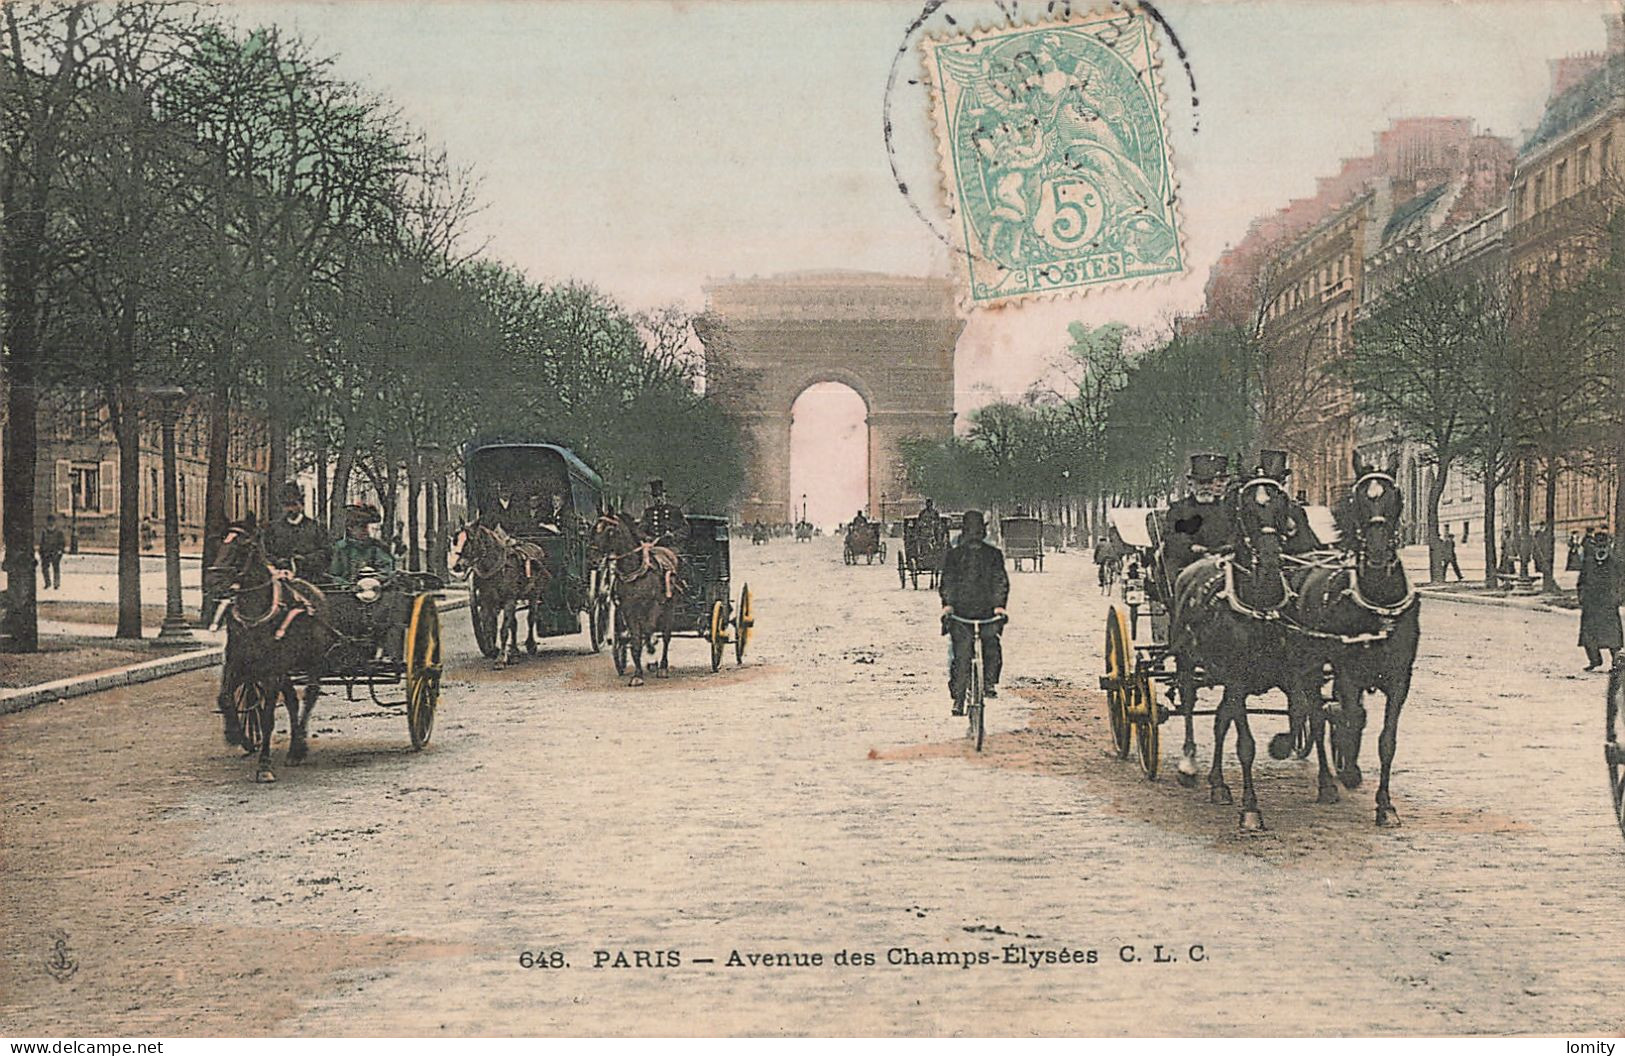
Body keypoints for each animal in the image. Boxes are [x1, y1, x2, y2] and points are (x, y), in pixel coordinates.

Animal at [203, 519, 336, 776]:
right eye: (221, 542)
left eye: (244, 545)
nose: (213, 582)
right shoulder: (237, 663)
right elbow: (225, 698)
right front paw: (236, 734)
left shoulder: (272, 671)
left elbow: (267, 718)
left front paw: (264, 765)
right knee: (293, 700)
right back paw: (294, 748)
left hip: (312, 661)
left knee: (310, 695)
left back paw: (298, 746)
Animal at [448, 519, 549, 666]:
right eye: (455, 540)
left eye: (470, 540)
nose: (456, 566)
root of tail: (537, 547)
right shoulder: (488, 602)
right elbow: (490, 625)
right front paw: (493, 651)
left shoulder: (509, 599)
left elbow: (504, 629)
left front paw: (501, 658)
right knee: (514, 623)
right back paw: (514, 651)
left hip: (534, 594)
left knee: (531, 618)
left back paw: (530, 644)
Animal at [591, 510, 679, 682]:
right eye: (594, 528)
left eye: (609, 530)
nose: (594, 559)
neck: (635, 572)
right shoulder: (628, 610)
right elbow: (636, 640)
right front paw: (637, 674)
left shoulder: (654, 606)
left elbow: (649, 629)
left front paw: (652, 648)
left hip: (669, 608)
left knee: (666, 635)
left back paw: (662, 665)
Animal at [1170, 474, 1319, 825]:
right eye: (1247, 509)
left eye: (1280, 506)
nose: (1269, 559)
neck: (1260, 607)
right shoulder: (1236, 679)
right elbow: (1246, 744)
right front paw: (1251, 807)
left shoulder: (1289, 673)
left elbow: (1299, 711)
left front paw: (1280, 746)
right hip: (1186, 660)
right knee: (1188, 701)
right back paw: (1189, 763)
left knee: (1220, 719)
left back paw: (1218, 783)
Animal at [1287, 451, 1417, 822]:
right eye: (1359, 497)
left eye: (1396, 496)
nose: (1376, 551)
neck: (1379, 600)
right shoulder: (1347, 672)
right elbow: (1350, 717)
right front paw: (1348, 772)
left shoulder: (1399, 679)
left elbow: (1387, 739)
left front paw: (1385, 804)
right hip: (1311, 664)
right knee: (1315, 715)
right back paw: (1327, 783)